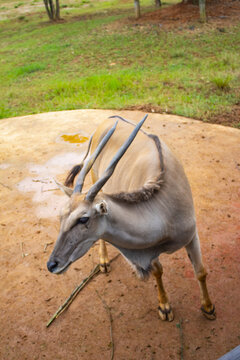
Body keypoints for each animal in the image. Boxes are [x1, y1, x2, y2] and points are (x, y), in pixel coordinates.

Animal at [47, 114, 216, 320]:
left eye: (83, 219)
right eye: (61, 217)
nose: (52, 264)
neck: (165, 212)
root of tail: (110, 118)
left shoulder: (191, 235)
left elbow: (200, 271)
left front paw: (208, 308)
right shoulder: (150, 248)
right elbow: (158, 271)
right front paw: (164, 307)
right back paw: (103, 262)